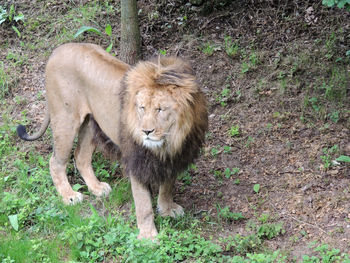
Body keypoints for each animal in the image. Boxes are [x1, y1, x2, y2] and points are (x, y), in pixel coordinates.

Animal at [17, 42, 208, 240]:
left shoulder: (176, 157)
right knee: (55, 162)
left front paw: (167, 210)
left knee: (81, 157)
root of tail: (58, 49)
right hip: (65, 120)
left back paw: (97, 188)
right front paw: (148, 236)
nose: (145, 131)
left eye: (160, 109)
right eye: (141, 108)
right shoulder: (136, 161)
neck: (169, 141)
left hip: (90, 124)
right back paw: (69, 196)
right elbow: (143, 204)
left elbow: (167, 187)